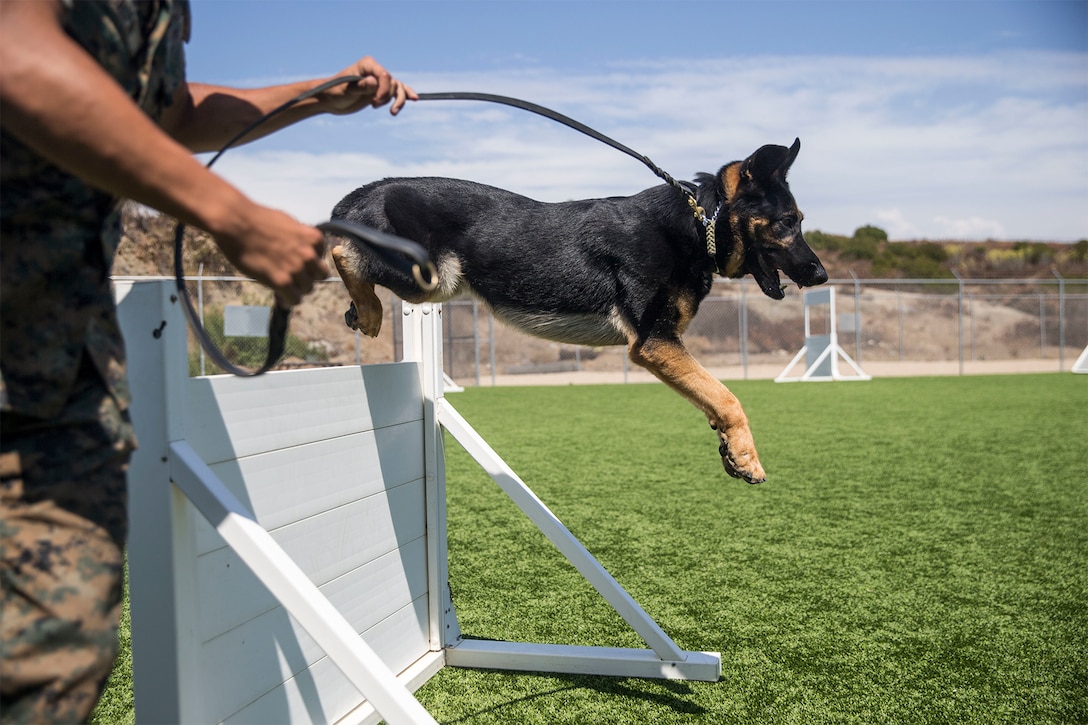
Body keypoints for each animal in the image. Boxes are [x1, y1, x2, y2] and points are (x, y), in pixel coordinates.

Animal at [328, 138, 822, 483]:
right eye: (787, 222)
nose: (821, 275)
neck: (700, 224)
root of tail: (365, 192)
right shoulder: (654, 343)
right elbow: (729, 396)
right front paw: (749, 456)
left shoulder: (665, 347)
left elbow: (712, 397)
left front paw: (731, 450)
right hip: (430, 277)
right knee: (341, 251)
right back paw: (367, 310)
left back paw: (360, 310)